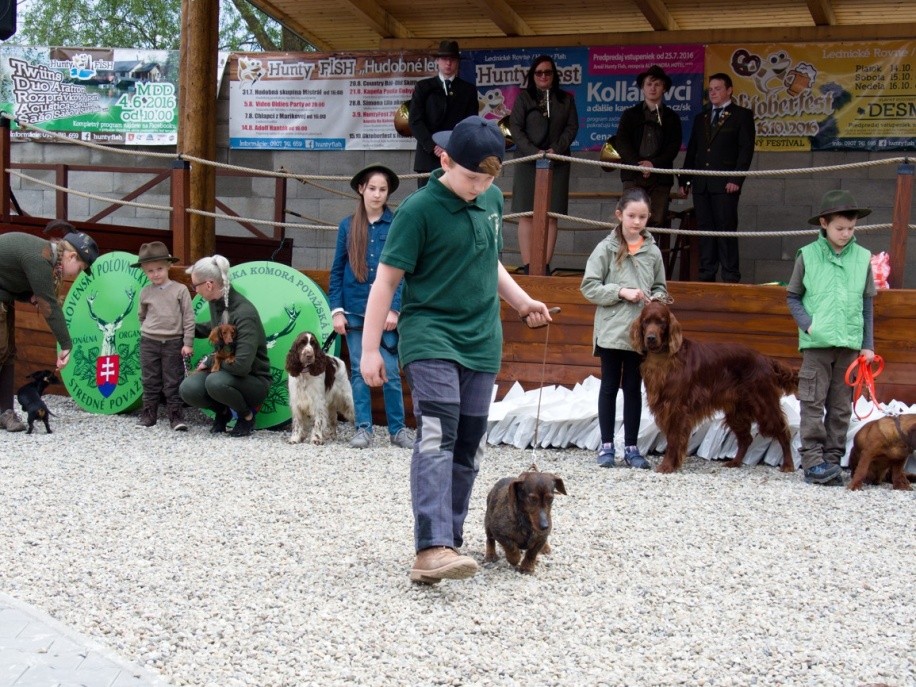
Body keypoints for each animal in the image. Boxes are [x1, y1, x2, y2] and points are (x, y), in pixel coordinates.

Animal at [630, 301, 798, 474]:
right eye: (645, 321)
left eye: (662, 322)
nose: (650, 338)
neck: (664, 357)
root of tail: (765, 359)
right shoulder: (665, 407)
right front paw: (673, 464)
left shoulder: (676, 408)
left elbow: (673, 439)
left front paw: (667, 465)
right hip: (737, 411)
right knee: (746, 438)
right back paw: (735, 462)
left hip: (764, 405)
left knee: (783, 432)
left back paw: (788, 465)